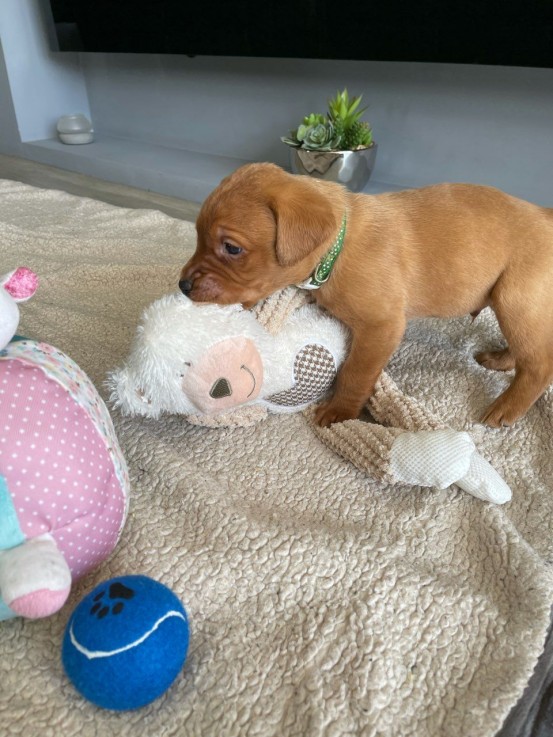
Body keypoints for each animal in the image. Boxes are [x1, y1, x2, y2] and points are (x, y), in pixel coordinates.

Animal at [180, 161, 552, 426]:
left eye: (231, 248)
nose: (182, 286)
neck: (337, 249)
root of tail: (546, 215)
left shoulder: (380, 326)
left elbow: (355, 373)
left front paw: (340, 411)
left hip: (515, 300)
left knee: (539, 364)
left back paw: (506, 408)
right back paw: (501, 359)